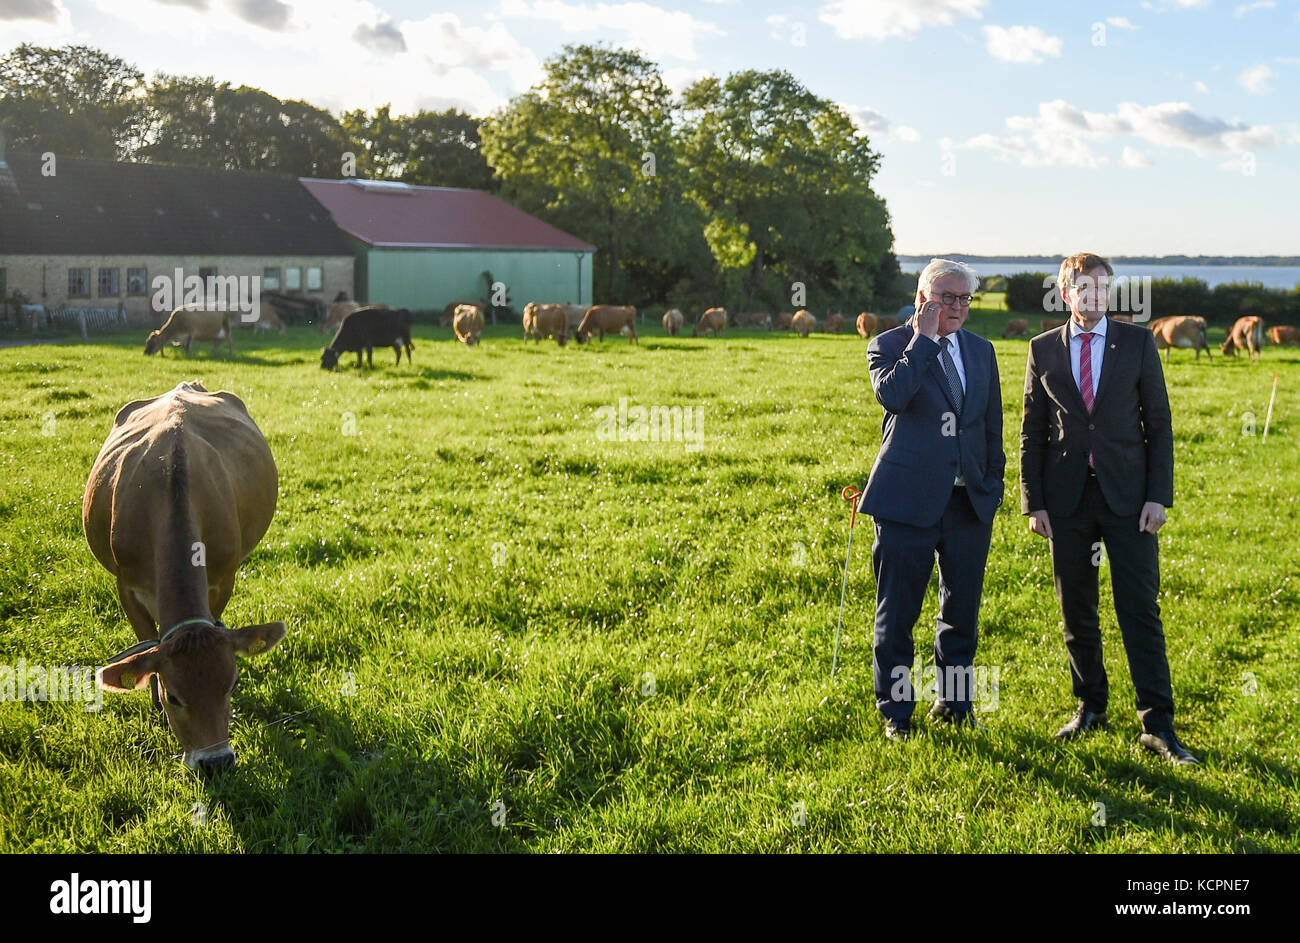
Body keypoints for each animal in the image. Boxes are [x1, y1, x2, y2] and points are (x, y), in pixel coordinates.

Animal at [89, 382, 287, 770]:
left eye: (231, 685)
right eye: (175, 697)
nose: (216, 763)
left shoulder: (224, 577)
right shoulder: (126, 586)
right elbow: (147, 643)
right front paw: (153, 702)